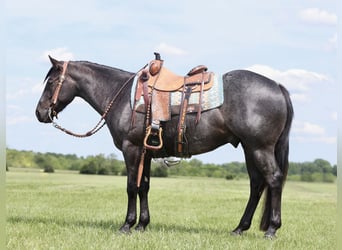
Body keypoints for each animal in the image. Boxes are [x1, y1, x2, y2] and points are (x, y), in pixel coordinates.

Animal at [35, 55, 294, 239]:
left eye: (52, 81)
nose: (40, 113)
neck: (122, 96)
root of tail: (278, 86)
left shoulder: (131, 149)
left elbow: (131, 186)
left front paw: (127, 225)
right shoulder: (147, 153)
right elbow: (144, 187)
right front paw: (142, 224)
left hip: (260, 148)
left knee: (273, 180)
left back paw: (272, 229)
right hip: (250, 149)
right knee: (256, 184)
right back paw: (240, 228)